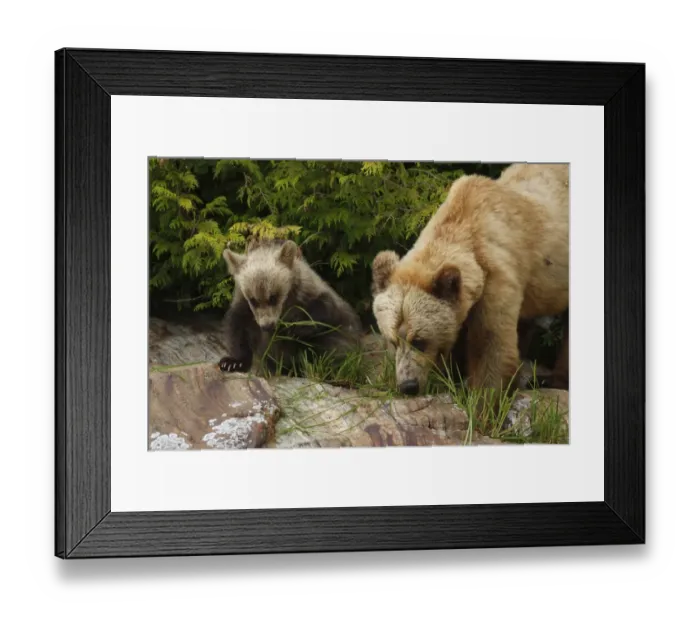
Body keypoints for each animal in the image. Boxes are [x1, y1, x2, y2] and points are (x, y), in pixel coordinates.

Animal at [218, 237, 364, 376]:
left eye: (273, 297)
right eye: (253, 300)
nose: (267, 326)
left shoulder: (311, 293)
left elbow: (320, 314)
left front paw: (292, 327)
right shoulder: (244, 306)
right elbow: (237, 329)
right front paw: (232, 362)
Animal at [371, 163, 569, 397]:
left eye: (419, 341)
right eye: (392, 341)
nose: (408, 386)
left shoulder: (496, 278)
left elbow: (490, 344)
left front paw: (483, 398)